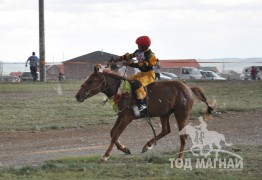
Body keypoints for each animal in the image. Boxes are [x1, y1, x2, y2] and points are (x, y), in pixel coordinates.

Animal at [74, 65, 213, 162]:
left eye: (90, 81)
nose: (77, 95)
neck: (122, 91)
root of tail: (189, 89)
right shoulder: (121, 115)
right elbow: (112, 133)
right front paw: (125, 149)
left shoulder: (127, 117)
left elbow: (115, 135)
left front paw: (105, 156)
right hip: (164, 114)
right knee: (166, 130)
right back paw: (147, 145)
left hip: (181, 115)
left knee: (182, 136)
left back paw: (179, 158)